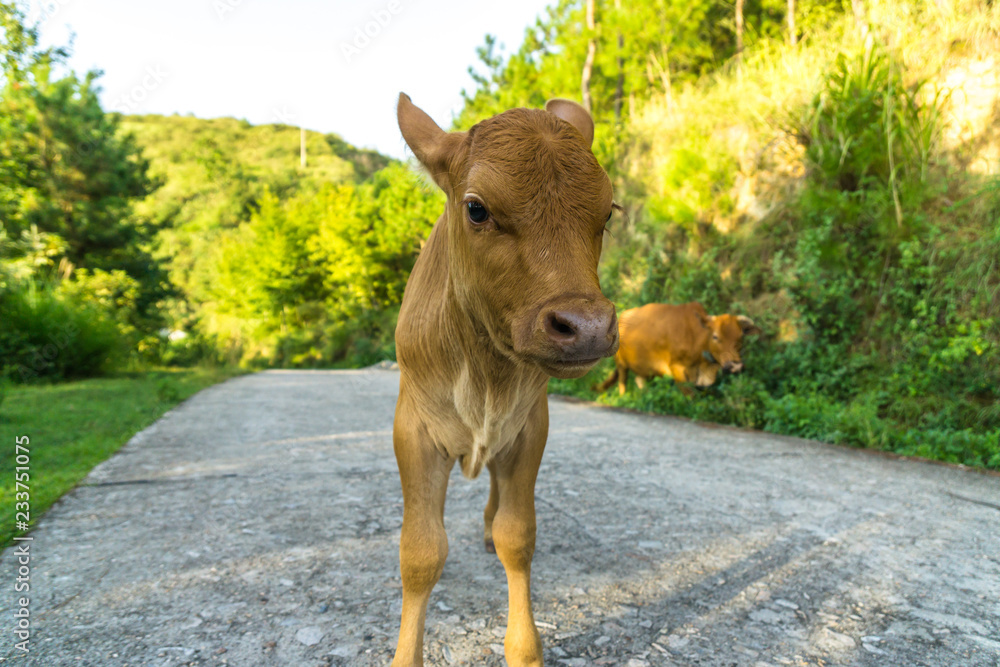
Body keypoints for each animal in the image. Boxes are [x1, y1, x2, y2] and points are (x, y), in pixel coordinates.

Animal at [388, 91, 616, 664]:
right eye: (476, 208)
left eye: (608, 211)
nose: (587, 327)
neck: (483, 372)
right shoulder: (413, 428)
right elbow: (420, 552)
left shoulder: (529, 425)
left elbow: (519, 536)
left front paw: (524, 648)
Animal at [596, 302, 760, 396]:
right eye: (715, 336)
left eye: (741, 337)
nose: (736, 366)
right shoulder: (676, 368)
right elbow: (691, 395)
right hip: (621, 363)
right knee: (622, 382)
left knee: (640, 379)